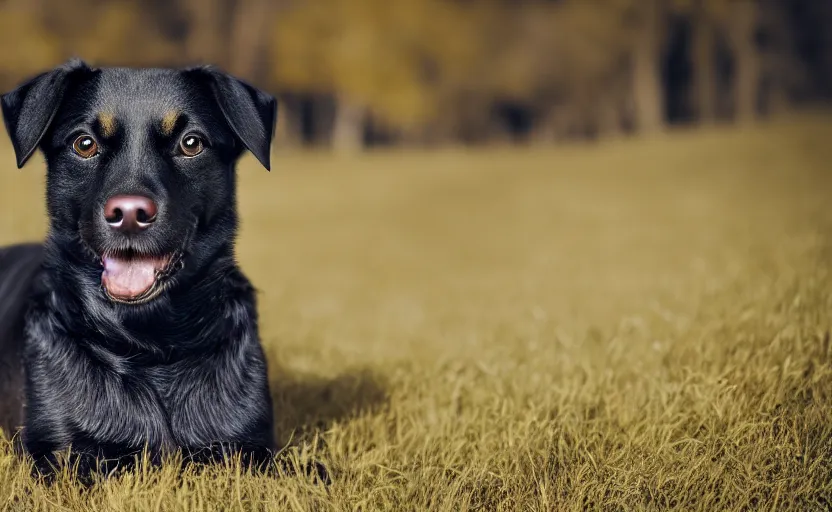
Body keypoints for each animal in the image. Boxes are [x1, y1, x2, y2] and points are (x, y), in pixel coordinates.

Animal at [0, 60, 282, 480]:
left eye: (191, 143)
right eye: (84, 144)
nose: (130, 214)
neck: (150, 338)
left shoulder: (249, 443)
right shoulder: (60, 452)